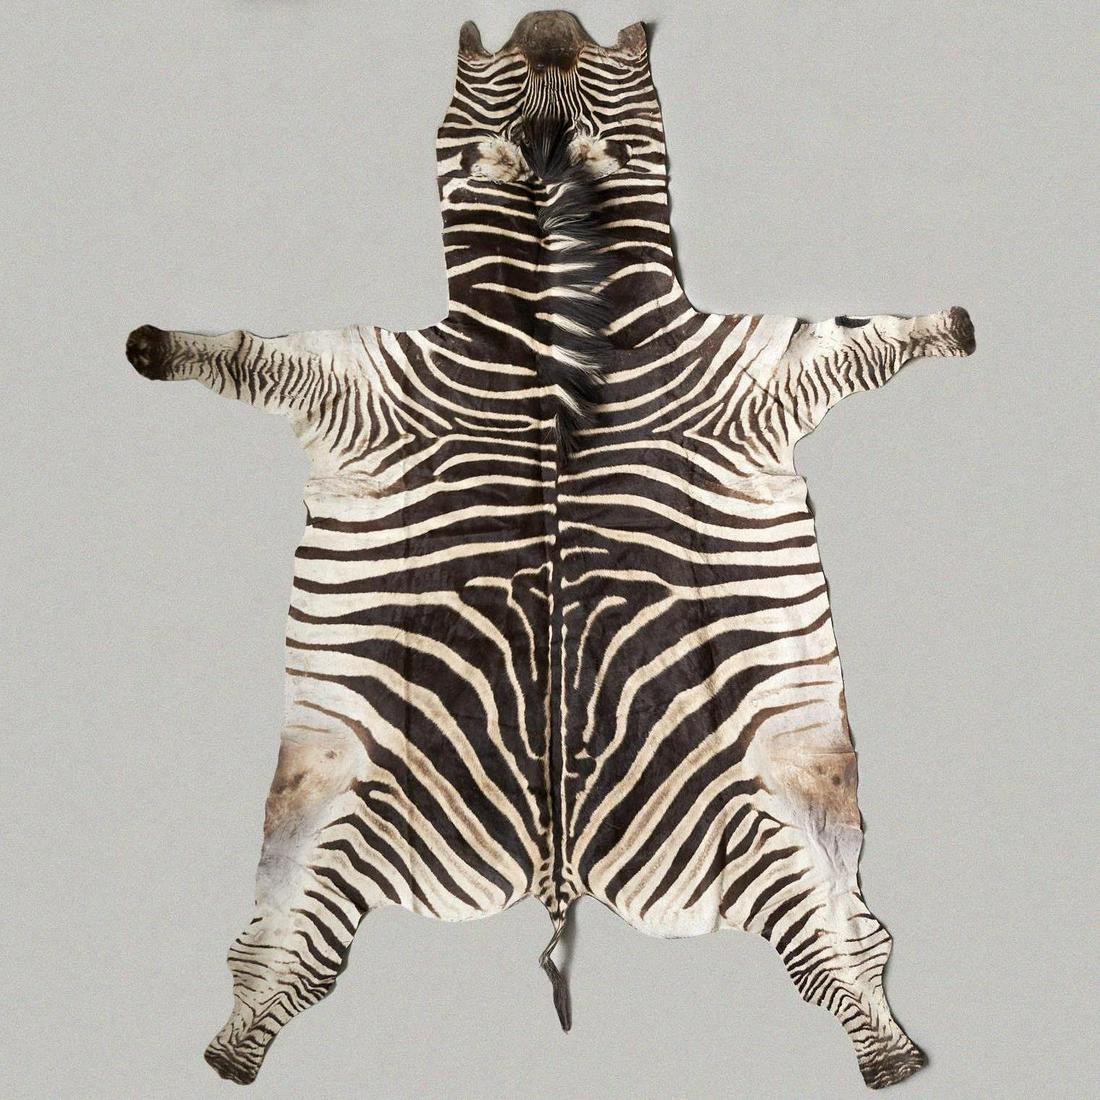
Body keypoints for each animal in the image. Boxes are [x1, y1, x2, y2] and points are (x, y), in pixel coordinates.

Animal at [126, 10, 975, 1089]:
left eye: (597, 64)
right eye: (494, 68)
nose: (548, 22)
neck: (551, 321)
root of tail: (559, 869)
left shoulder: (757, 374)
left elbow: (863, 336)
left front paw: (952, 326)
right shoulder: (352, 382)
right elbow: (243, 350)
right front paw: (151, 346)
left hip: (770, 815)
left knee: (841, 950)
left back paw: (891, 1050)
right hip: (335, 807)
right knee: (282, 954)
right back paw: (234, 1049)